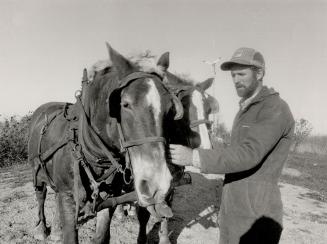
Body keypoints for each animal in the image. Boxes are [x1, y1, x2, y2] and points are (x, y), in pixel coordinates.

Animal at [28, 43, 184, 243]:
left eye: (171, 108)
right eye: (125, 104)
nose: (157, 184)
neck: (90, 150)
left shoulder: (108, 198)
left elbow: (102, 235)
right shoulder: (68, 196)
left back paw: (55, 229)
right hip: (37, 171)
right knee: (41, 195)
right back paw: (42, 228)